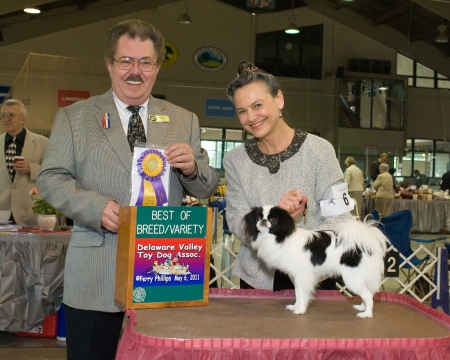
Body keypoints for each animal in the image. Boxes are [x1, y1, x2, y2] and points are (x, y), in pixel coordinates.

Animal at [244, 205, 388, 318]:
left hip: (352, 279)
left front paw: (300, 310)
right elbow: (298, 293)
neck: (281, 238)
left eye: (273, 220)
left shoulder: (303, 277)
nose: (263, 221)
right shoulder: (297, 277)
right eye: (258, 218)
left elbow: (302, 295)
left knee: (368, 295)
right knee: (368, 293)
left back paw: (366, 314)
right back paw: (362, 307)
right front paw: (295, 307)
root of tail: (364, 244)